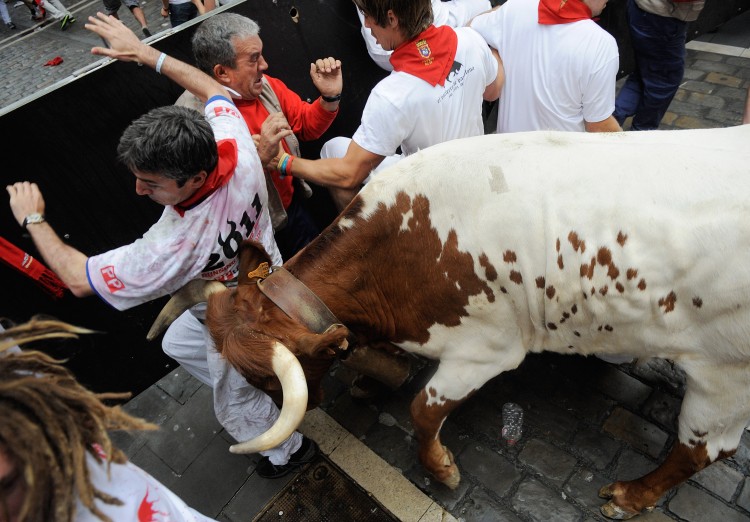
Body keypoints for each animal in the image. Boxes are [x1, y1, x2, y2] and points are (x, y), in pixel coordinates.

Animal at [153, 125, 750, 516]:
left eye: (264, 378)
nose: (306, 408)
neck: (402, 246)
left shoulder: (486, 349)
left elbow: (422, 409)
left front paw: (439, 468)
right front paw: (375, 378)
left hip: (724, 377)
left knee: (704, 449)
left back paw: (630, 495)